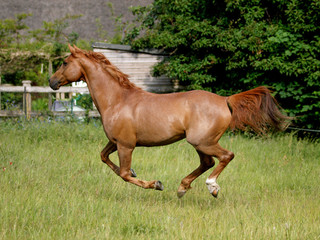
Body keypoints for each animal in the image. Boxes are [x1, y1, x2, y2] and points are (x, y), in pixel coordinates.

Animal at [48, 44, 288, 197]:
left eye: (64, 62)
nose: (52, 82)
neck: (117, 100)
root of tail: (224, 100)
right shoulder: (115, 142)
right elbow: (104, 157)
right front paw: (137, 173)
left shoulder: (126, 145)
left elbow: (124, 174)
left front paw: (157, 184)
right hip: (201, 143)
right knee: (207, 162)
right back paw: (182, 188)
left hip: (203, 142)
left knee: (225, 156)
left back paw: (212, 187)